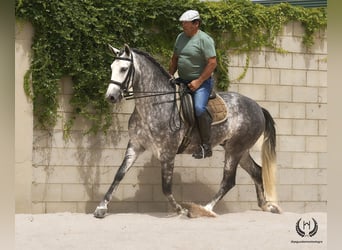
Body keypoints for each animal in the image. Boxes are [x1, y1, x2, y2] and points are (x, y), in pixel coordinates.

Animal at [93, 45, 280, 219]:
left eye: (124, 69)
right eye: (112, 67)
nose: (110, 97)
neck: (156, 103)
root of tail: (258, 107)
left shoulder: (168, 152)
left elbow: (166, 187)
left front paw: (181, 210)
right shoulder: (135, 145)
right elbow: (119, 174)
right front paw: (101, 208)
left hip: (235, 150)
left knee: (228, 181)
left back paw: (205, 209)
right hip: (240, 150)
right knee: (257, 172)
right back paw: (266, 206)